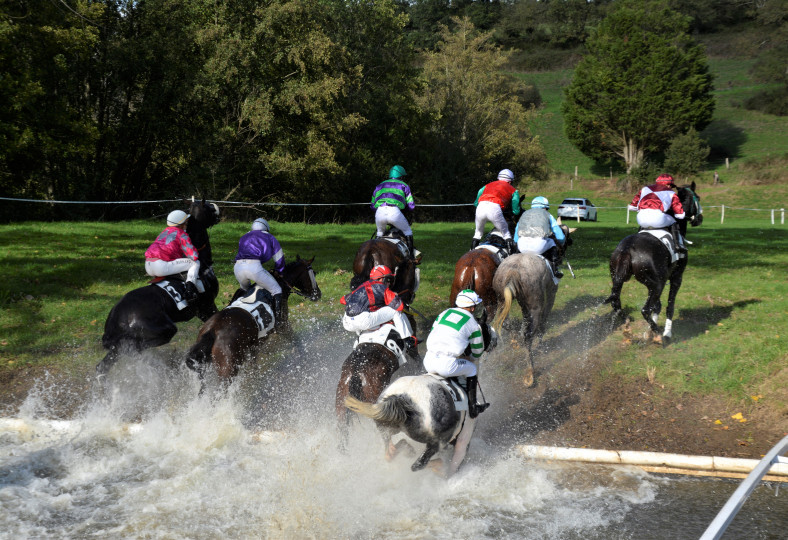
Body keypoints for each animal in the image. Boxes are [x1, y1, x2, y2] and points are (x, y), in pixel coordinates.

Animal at [98, 198, 223, 376]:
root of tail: (118, 317)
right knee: (131, 349)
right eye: (207, 207)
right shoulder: (206, 307)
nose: (219, 209)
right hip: (164, 329)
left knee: (104, 365)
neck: (203, 265)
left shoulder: (202, 310)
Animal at [185, 258, 320, 388]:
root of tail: (212, 330)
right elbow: (296, 341)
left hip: (204, 372)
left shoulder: (253, 348)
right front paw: (305, 359)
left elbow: (253, 367)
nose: (318, 294)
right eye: (313, 273)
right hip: (228, 371)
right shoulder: (283, 326)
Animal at [600, 184, 704, 344]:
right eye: (697, 197)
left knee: (616, 303)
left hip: (620, 278)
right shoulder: (676, 277)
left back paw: (628, 326)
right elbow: (669, 306)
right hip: (657, 284)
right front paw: (666, 333)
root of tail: (627, 250)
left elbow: (657, 306)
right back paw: (658, 333)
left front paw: (649, 332)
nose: (700, 218)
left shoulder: (652, 284)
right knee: (644, 309)